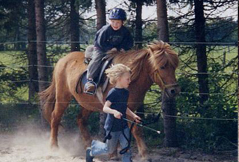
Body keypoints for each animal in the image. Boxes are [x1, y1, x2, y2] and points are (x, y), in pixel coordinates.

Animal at [39, 40, 179, 161]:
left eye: (174, 67)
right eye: (162, 67)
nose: (174, 90)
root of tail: (62, 60)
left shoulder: (128, 110)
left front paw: (115, 153)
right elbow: (134, 130)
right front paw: (144, 155)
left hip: (88, 104)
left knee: (80, 120)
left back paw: (90, 146)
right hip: (63, 97)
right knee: (55, 117)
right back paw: (54, 147)